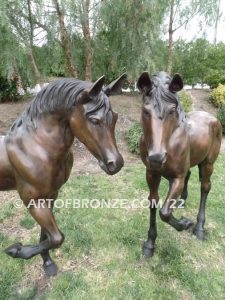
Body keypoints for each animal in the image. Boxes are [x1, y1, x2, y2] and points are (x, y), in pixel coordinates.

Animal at [0, 74, 126, 276]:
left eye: (114, 118)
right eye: (94, 120)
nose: (115, 164)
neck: (36, 146)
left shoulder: (51, 195)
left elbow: (47, 235)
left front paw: (47, 263)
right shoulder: (33, 201)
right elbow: (58, 237)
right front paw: (15, 250)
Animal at [137, 71, 221, 258]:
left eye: (172, 110)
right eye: (145, 111)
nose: (156, 158)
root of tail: (212, 118)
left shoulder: (178, 177)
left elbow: (165, 212)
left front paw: (184, 223)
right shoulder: (151, 173)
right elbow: (154, 202)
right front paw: (150, 244)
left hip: (208, 164)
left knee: (205, 187)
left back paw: (199, 228)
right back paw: (180, 203)